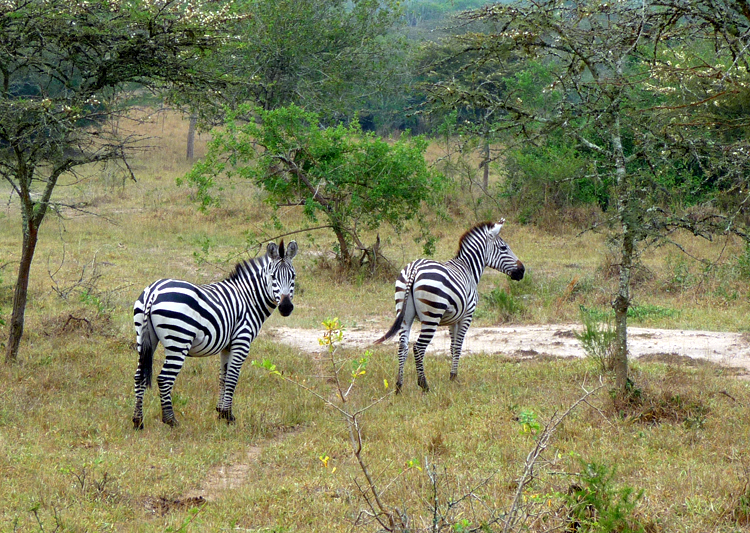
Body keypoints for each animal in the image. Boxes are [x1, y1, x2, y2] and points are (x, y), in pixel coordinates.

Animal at [132, 241, 300, 428]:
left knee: (139, 376)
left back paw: (138, 421)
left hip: (144, 339)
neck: (249, 298)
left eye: (293, 276)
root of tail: (153, 292)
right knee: (164, 378)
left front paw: (221, 412)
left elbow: (223, 377)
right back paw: (170, 420)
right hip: (178, 341)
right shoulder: (242, 341)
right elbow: (232, 377)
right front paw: (228, 416)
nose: (286, 308)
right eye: (272, 277)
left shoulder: (227, 345)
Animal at [374, 220, 524, 390]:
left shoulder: (453, 319)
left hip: (405, 313)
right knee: (418, 347)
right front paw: (454, 377)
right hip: (431, 315)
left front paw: (452, 376)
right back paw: (424, 385)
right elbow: (458, 346)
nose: (522, 270)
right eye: (504, 248)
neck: (468, 268)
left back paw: (399, 386)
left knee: (402, 347)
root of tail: (414, 268)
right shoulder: (467, 315)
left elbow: (452, 347)